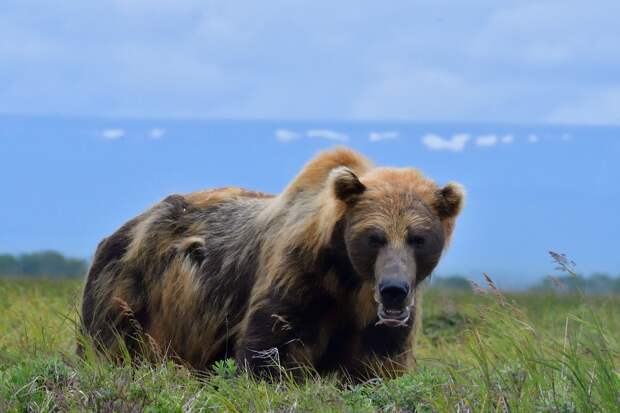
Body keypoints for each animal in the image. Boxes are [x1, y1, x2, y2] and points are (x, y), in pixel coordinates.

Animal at [80, 147, 462, 380]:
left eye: (418, 238)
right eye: (374, 237)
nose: (394, 289)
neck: (346, 277)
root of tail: (125, 227)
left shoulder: (372, 319)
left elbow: (376, 367)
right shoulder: (298, 277)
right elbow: (270, 350)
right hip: (133, 293)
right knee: (113, 345)